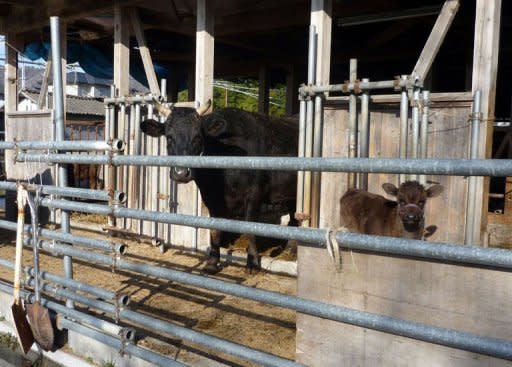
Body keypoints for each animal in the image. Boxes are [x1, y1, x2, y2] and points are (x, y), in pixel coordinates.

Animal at [142, 100, 298, 274]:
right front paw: (212, 262)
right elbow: (215, 230)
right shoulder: (211, 198)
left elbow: (250, 228)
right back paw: (290, 248)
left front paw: (252, 262)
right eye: (169, 137)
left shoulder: (254, 194)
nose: (181, 173)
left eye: (198, 137)